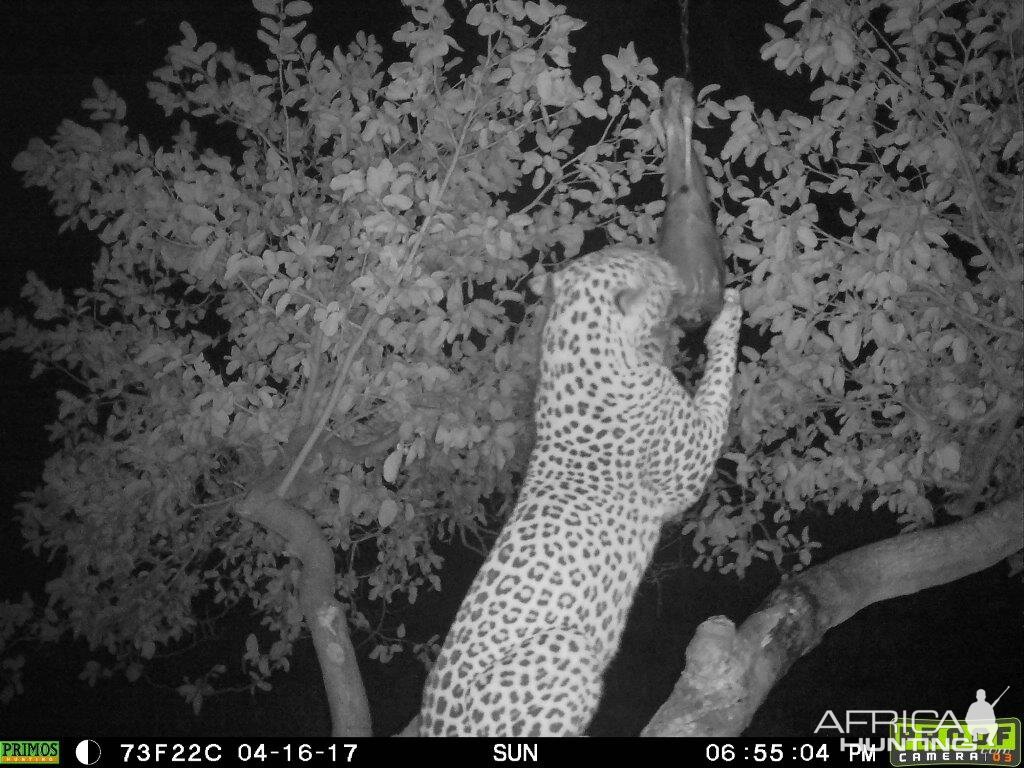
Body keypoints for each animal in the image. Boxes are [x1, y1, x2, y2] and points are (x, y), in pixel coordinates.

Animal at [415, 243, 745, 737]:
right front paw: (728, 318)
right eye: (653, 268)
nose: (669, 263)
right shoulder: (690, 461)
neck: (572, 344)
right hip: (566, 654)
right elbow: (717, 388)